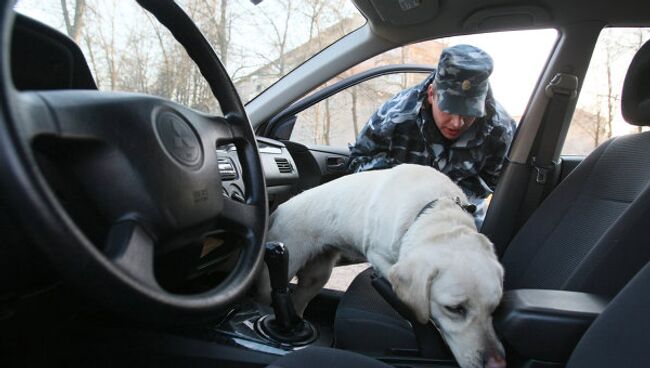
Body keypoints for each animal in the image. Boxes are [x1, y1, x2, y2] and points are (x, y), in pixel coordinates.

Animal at [260, 164, 504, 368]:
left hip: (316, 277)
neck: (434, 211)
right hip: (282, 268)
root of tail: (278, 209)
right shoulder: (378, 255)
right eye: (454, 309)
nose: (497, 364)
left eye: (494, 308)